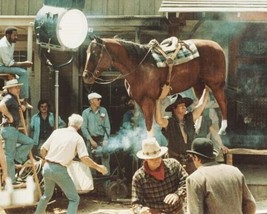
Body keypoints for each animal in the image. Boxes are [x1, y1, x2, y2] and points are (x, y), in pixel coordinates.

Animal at [83, 36, 228, 134]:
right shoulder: (140, 102)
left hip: (216, 85)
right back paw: (196, 127)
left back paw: (222, 128)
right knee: (202, 102)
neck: (138, 65)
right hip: (198, 85)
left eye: (95, 54)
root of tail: (218, 47)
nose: (86, 76)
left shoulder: (147, 101)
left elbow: (149, 127)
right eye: (87, 53)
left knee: (222, 102)